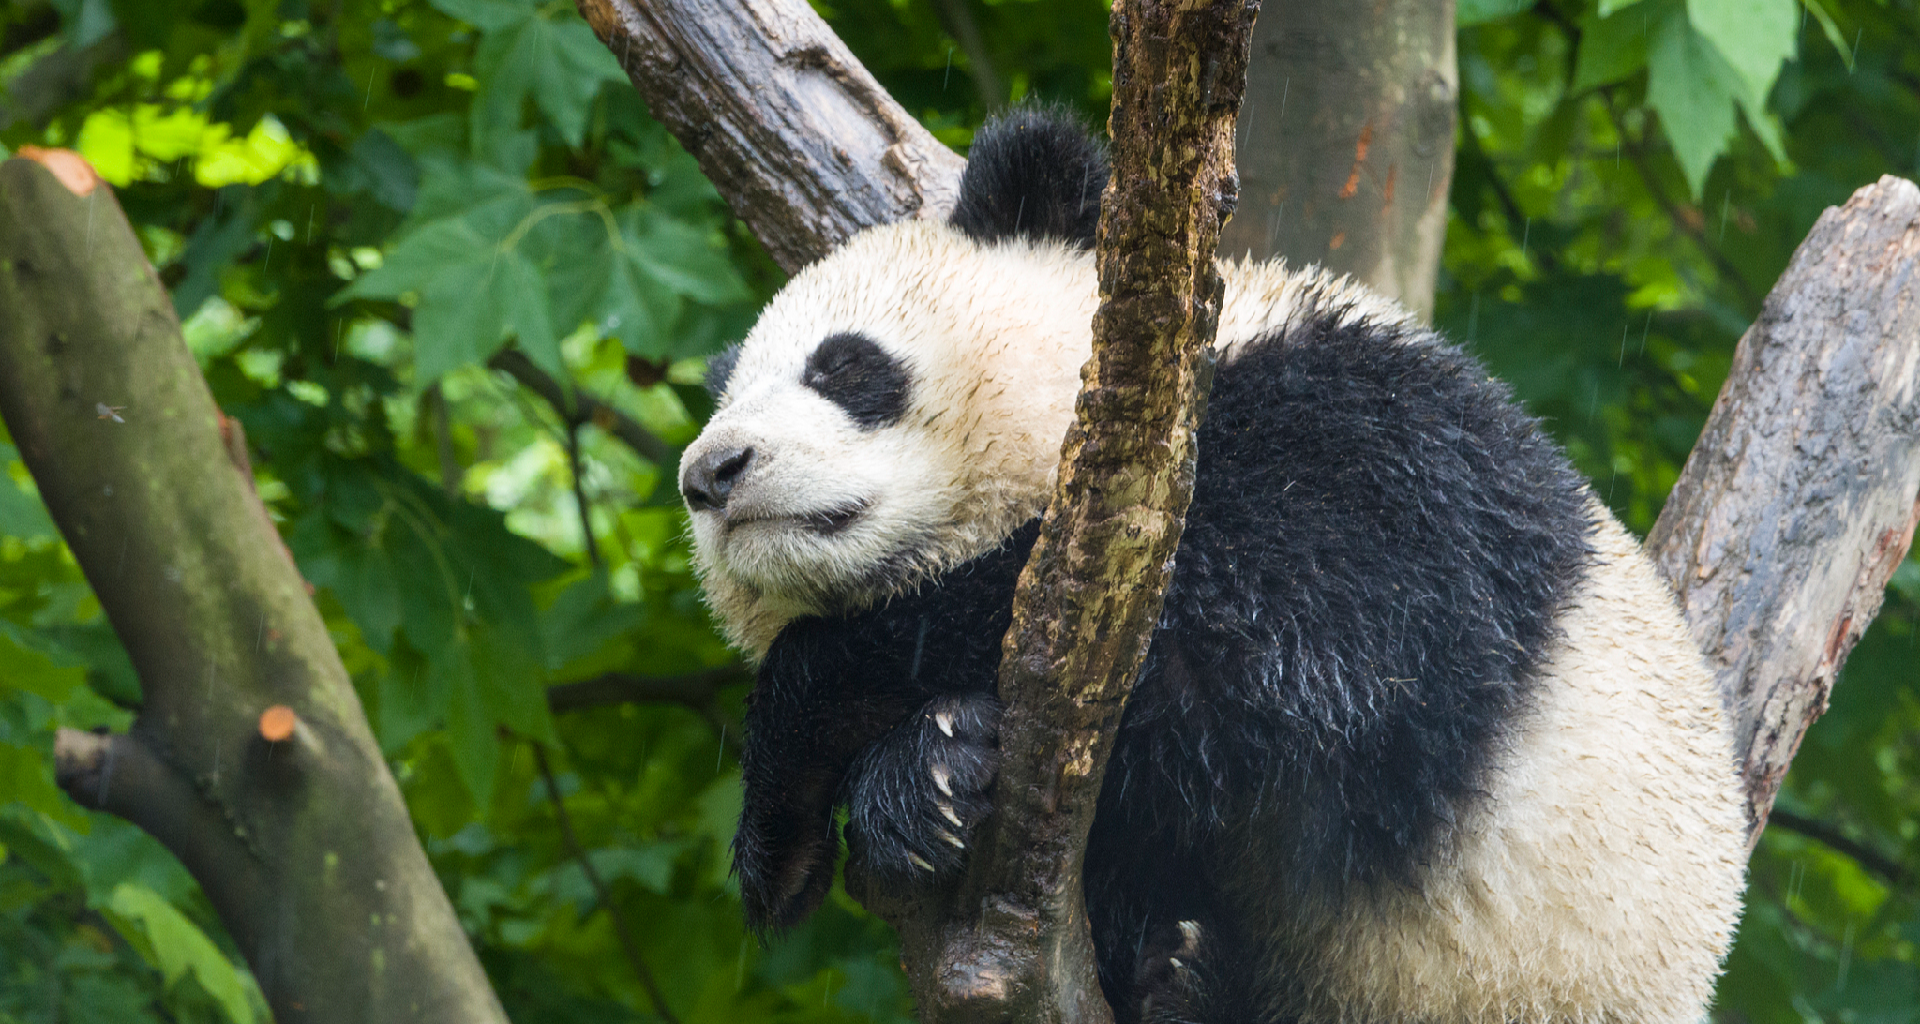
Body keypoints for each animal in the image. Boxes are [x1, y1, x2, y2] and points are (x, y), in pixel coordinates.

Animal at [678, 108, 1747, 1024]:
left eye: (845, 367)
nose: (708, 474)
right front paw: (914, 786)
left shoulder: (1372, 447)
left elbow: (1262, 640)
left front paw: (815, 757)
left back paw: (1193, 980)